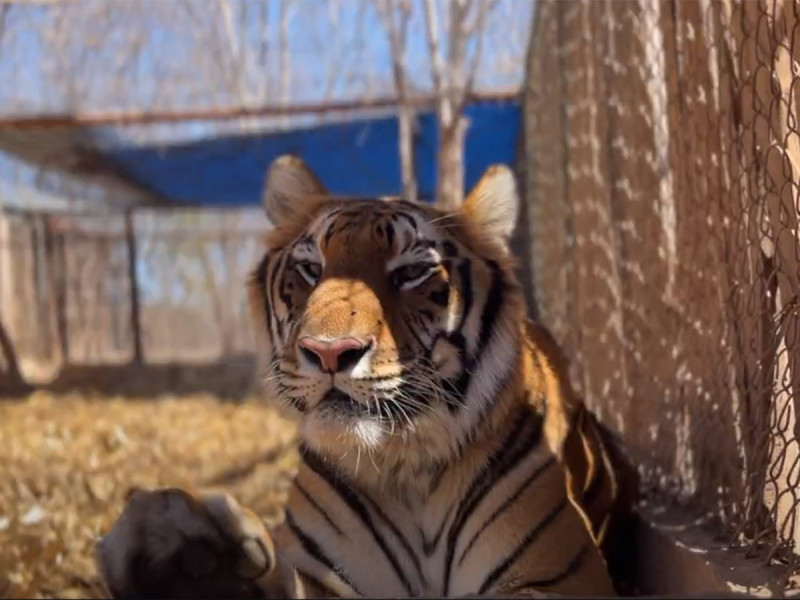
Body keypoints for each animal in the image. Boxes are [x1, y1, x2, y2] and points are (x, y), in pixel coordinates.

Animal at [95, 155, 636, 599]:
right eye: (311, 269)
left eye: (412, 272)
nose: (329, 351)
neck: (406, 470)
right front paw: (190, 559)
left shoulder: (556, 576)